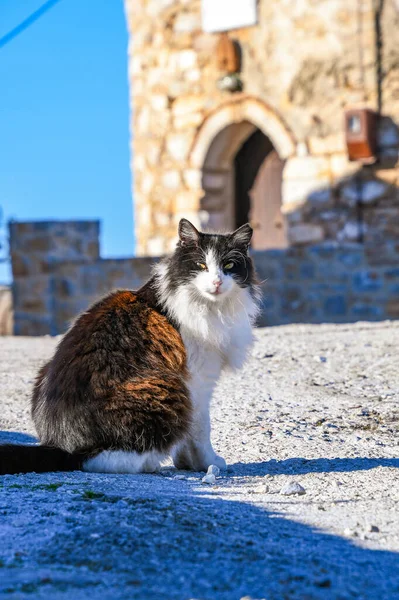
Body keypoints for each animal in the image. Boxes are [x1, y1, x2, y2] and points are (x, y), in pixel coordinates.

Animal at [0, 218, 260, 476]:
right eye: (201, 265)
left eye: (228, 265)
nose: (216, 282)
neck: (210, 307)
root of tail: (61, 445)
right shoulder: (197, 380)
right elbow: (201, 429)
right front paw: (207, 463)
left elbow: (188, 436)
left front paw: (186, 463)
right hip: (164, 386)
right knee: (104, 460)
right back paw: (151, 465)